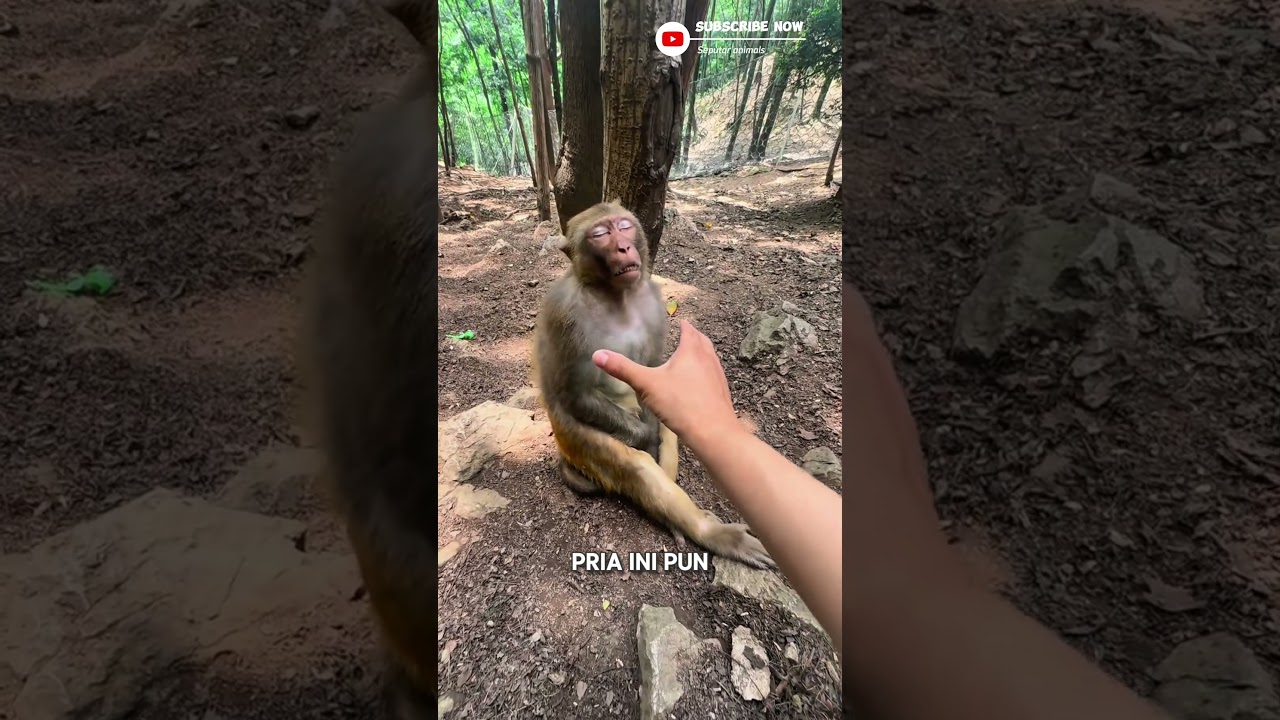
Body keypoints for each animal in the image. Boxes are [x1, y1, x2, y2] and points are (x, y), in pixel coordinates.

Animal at [533, 201, 775, 570]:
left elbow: (652, 371)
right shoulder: (564, 314)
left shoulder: (652, 299)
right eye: (600, 234)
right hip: (575, 440)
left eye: (623, 226)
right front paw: (645, 440)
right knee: (634, 465)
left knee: (669, 422)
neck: (613, 298)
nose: (623, 247)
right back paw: (709, 532)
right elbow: (574, 393)